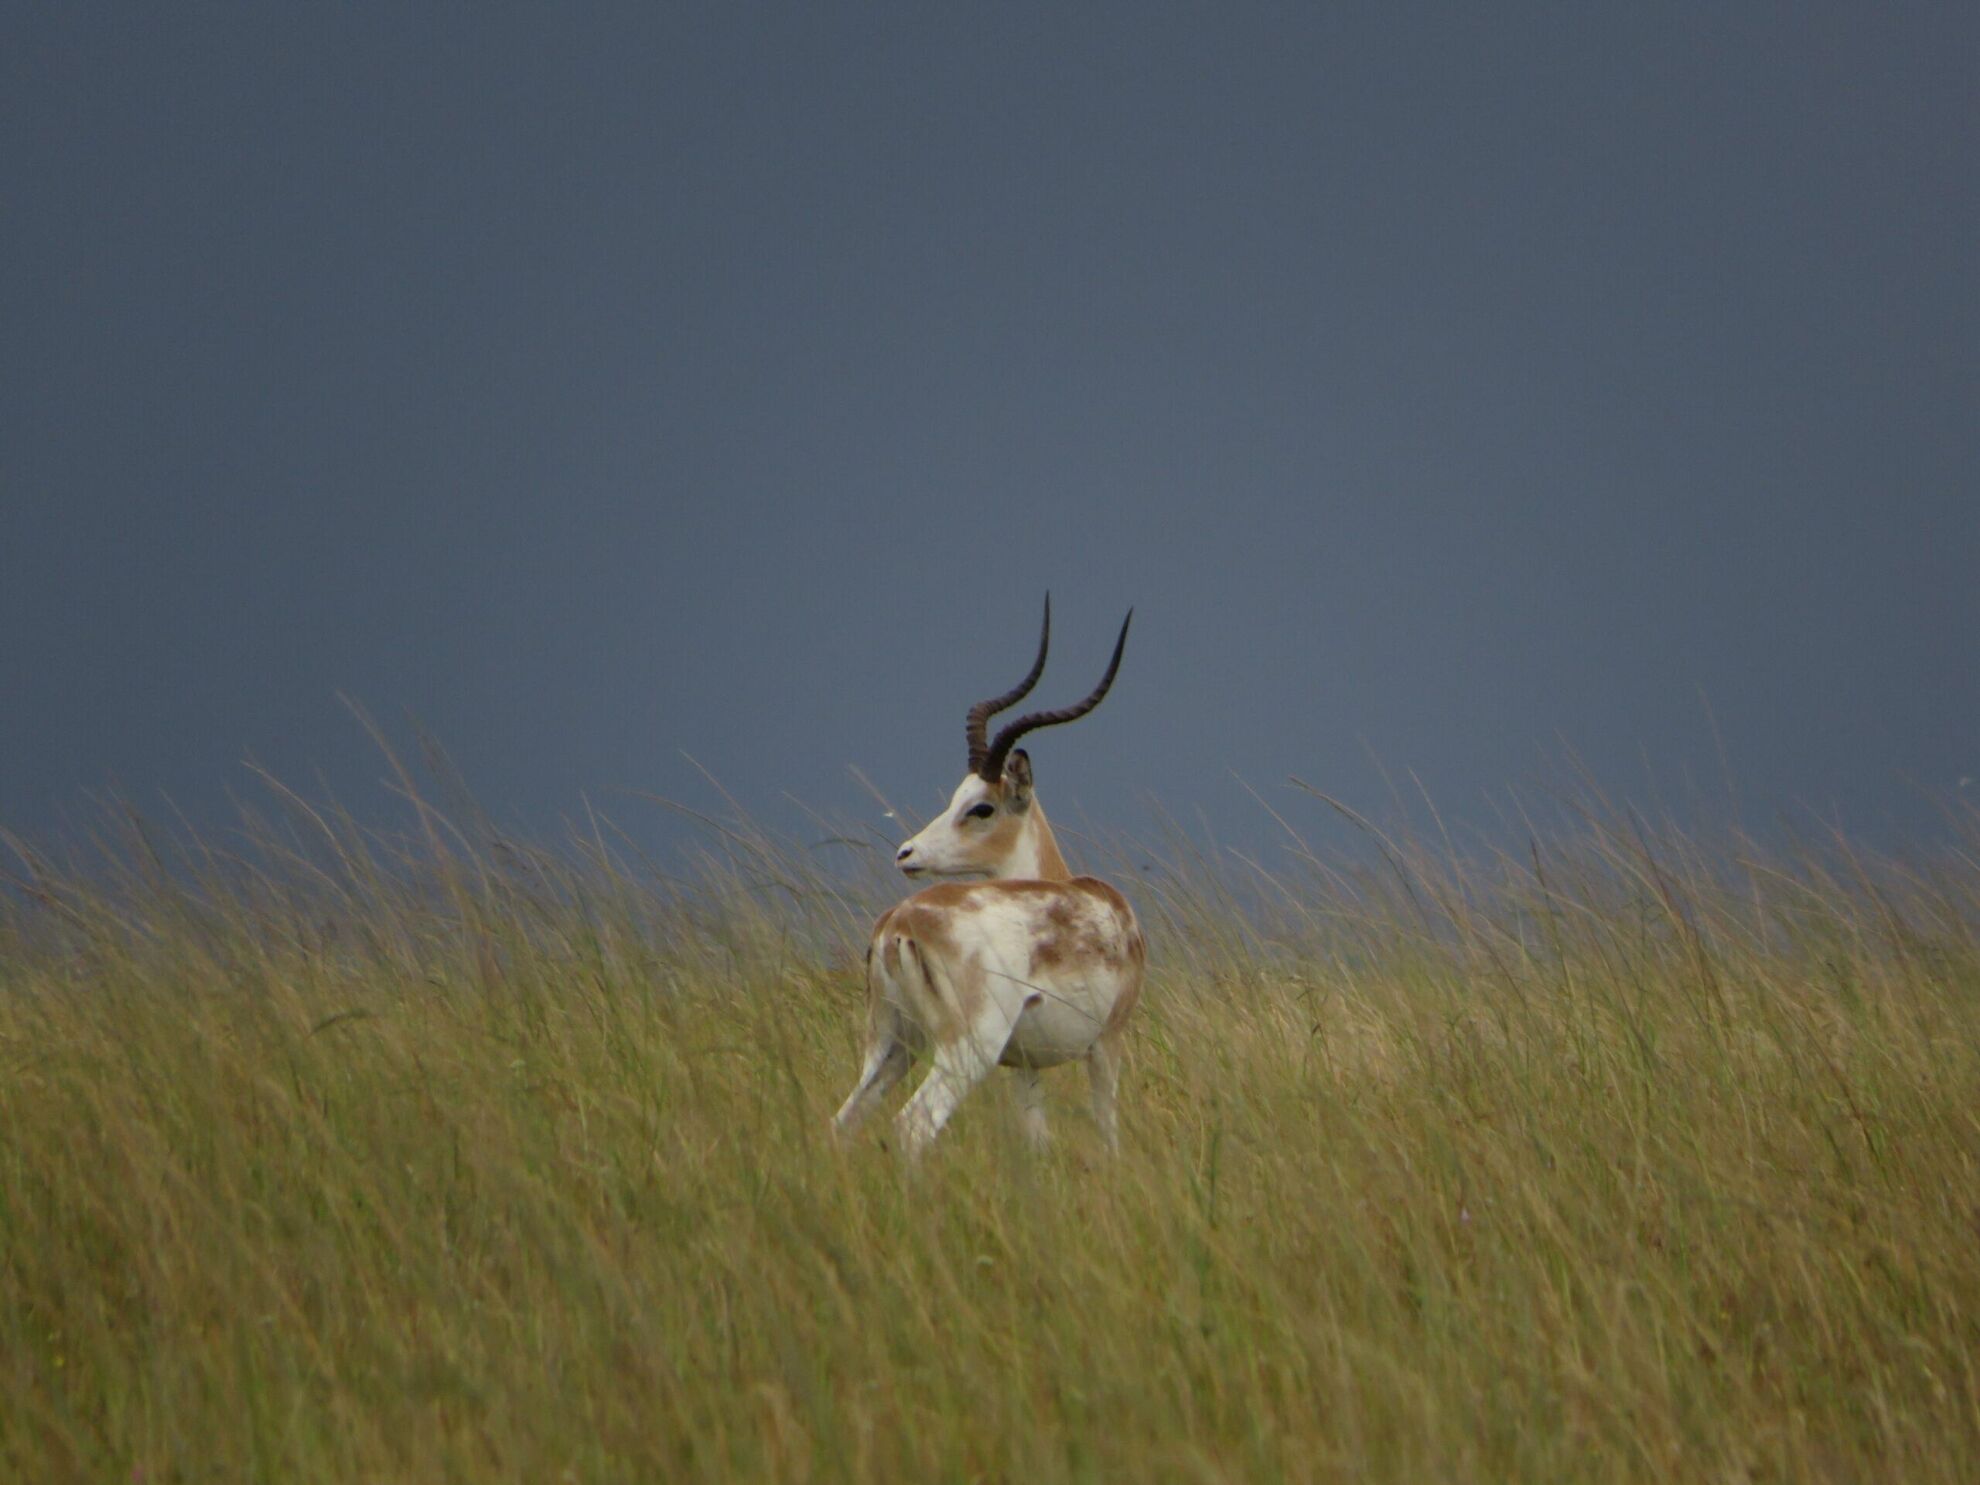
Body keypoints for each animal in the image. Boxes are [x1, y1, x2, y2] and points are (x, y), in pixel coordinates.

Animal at [833, 598, 1146, 1157]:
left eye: (979, 805)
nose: (906, 854)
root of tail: (898, 925)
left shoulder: (1024, 1065)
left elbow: (1036, 1143)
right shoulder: (1106, 1042)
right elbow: (1107, 1131)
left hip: (891, 1046)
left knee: (843, 1123)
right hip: (965, 1052)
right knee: (912, 1126)